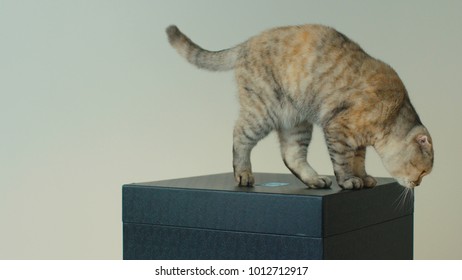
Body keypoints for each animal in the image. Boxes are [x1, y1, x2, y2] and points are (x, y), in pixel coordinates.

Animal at [165, 24, 434, 190]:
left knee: (292, 155)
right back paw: (243, 174)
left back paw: (315, 180)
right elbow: (343, 161)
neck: (393, 112)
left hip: (296, 121)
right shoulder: (338, 128)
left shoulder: (357, 141)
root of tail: (246, 43)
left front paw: (364, 177)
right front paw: (349, 181)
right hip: (263, 111)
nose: (418, 185)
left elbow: (359, 160)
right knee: (239, 136)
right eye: (422, 172)